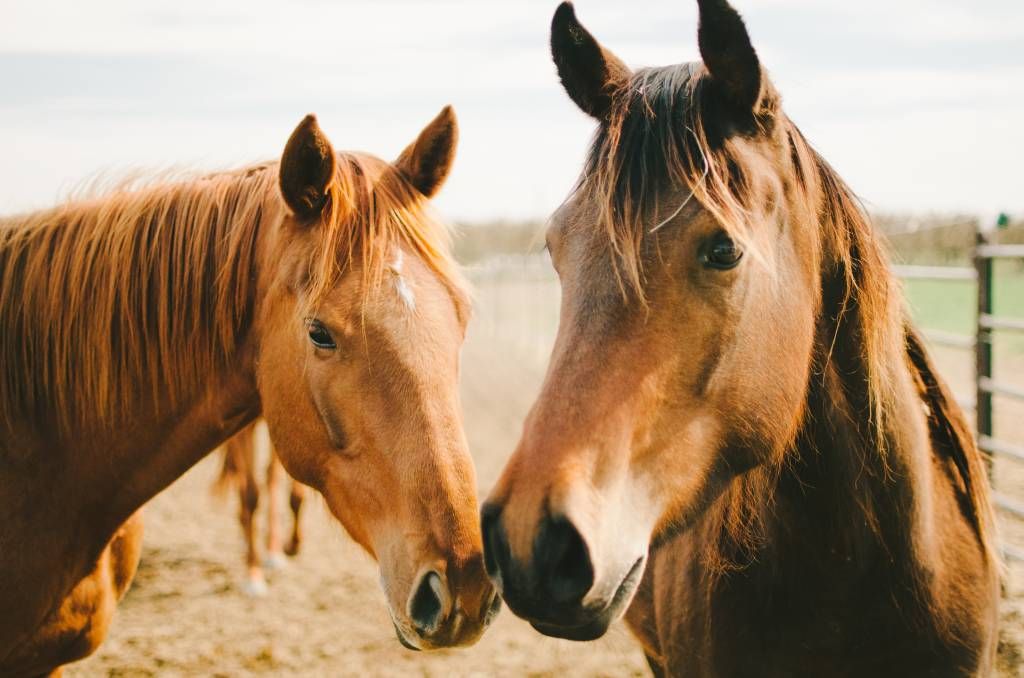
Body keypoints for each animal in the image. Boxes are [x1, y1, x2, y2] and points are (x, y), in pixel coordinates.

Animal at [216, 419, 307, 594]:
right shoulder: (241, 432)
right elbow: (250, 496)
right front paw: (253, 576)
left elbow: (297, 496)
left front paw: (292, 546)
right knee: (241, 479)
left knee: (271, 476)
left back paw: (273, 550)